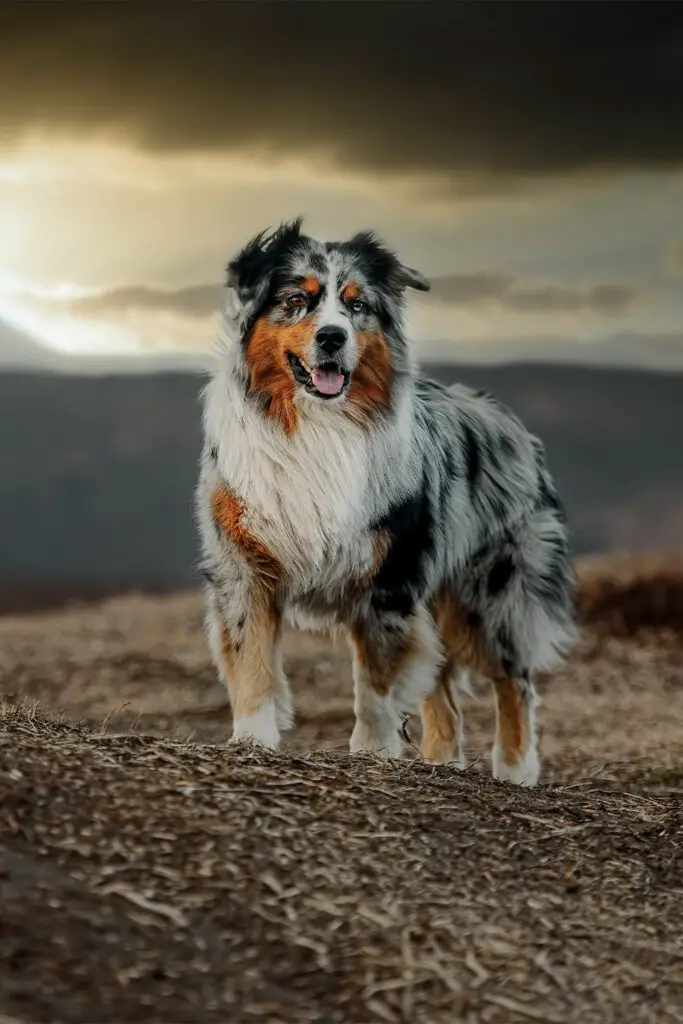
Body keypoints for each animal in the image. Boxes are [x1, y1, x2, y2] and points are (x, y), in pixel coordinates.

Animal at [197, 220, 577, 786]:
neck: (318, 426)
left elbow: (376, 682)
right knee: (443, 697)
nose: (332, 337)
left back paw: (514, 770)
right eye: (297, 299)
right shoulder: (246, 565)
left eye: (358, 306)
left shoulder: (387, 578)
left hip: (485, 595)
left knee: (515, 681)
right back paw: (441, 763)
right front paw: (252, 740)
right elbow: (253, 662)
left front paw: (372, 752)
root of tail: (512, 422)